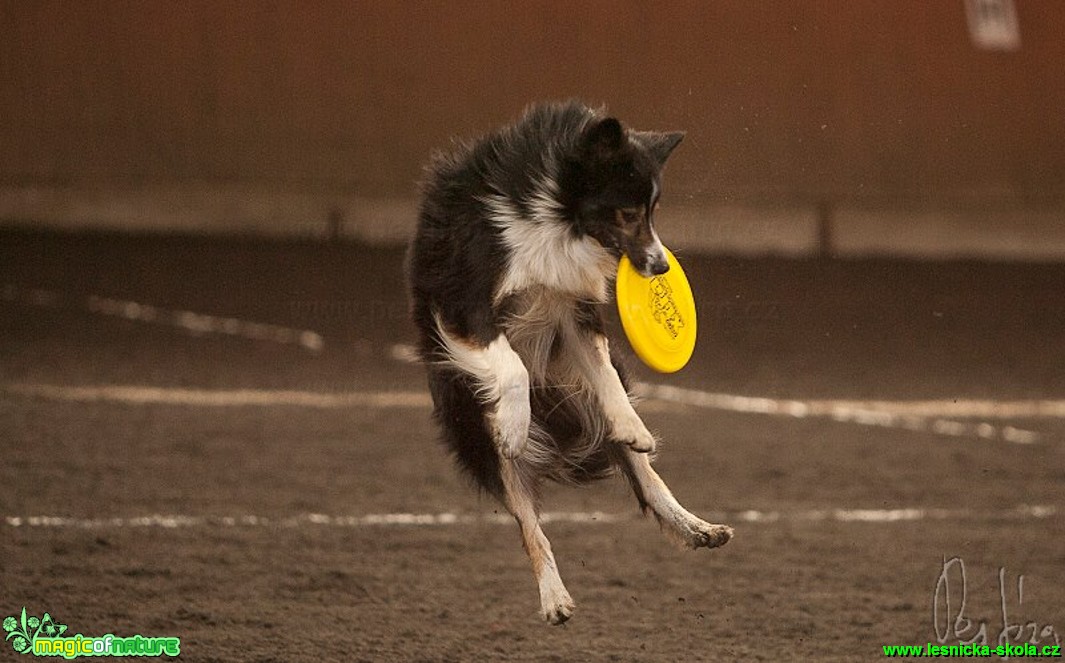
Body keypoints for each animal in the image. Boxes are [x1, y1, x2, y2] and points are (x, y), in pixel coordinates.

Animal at [406, 101, 732, 625]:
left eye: (653, 212)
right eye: (628, 212)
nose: (661, 267)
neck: (555, 215)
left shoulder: (572, 311)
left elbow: (606, 377)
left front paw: (632, 425)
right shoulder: (463, 306)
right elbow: (512, 368)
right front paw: (514, 424)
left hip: (576, 397)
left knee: (646, 478)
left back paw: (695, 526)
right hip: (474, 428)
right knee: (529, 525)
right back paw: (554, 598)